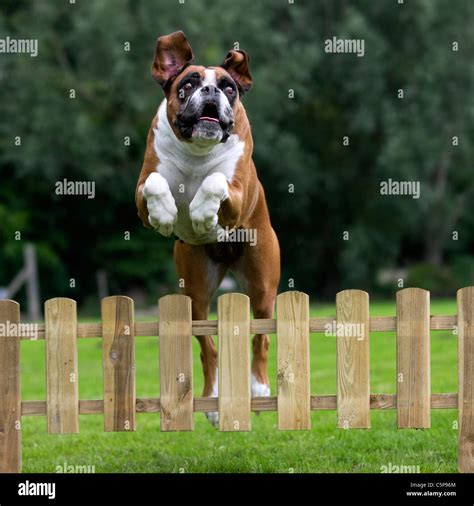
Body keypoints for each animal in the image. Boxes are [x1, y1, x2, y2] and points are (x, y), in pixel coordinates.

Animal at [135, 31, 280, 424]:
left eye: (229, 87)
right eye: (188, 84)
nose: (212, 91)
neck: (196, 152)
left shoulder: (237, 192)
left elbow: (214, 181)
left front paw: (201, 214)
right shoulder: (140, 193)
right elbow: (154, 184)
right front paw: (166, 214)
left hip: (262, 284)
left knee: (260, 336)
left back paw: (259, 388)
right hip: (195, 294)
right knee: (207, 345)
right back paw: (213, 400)